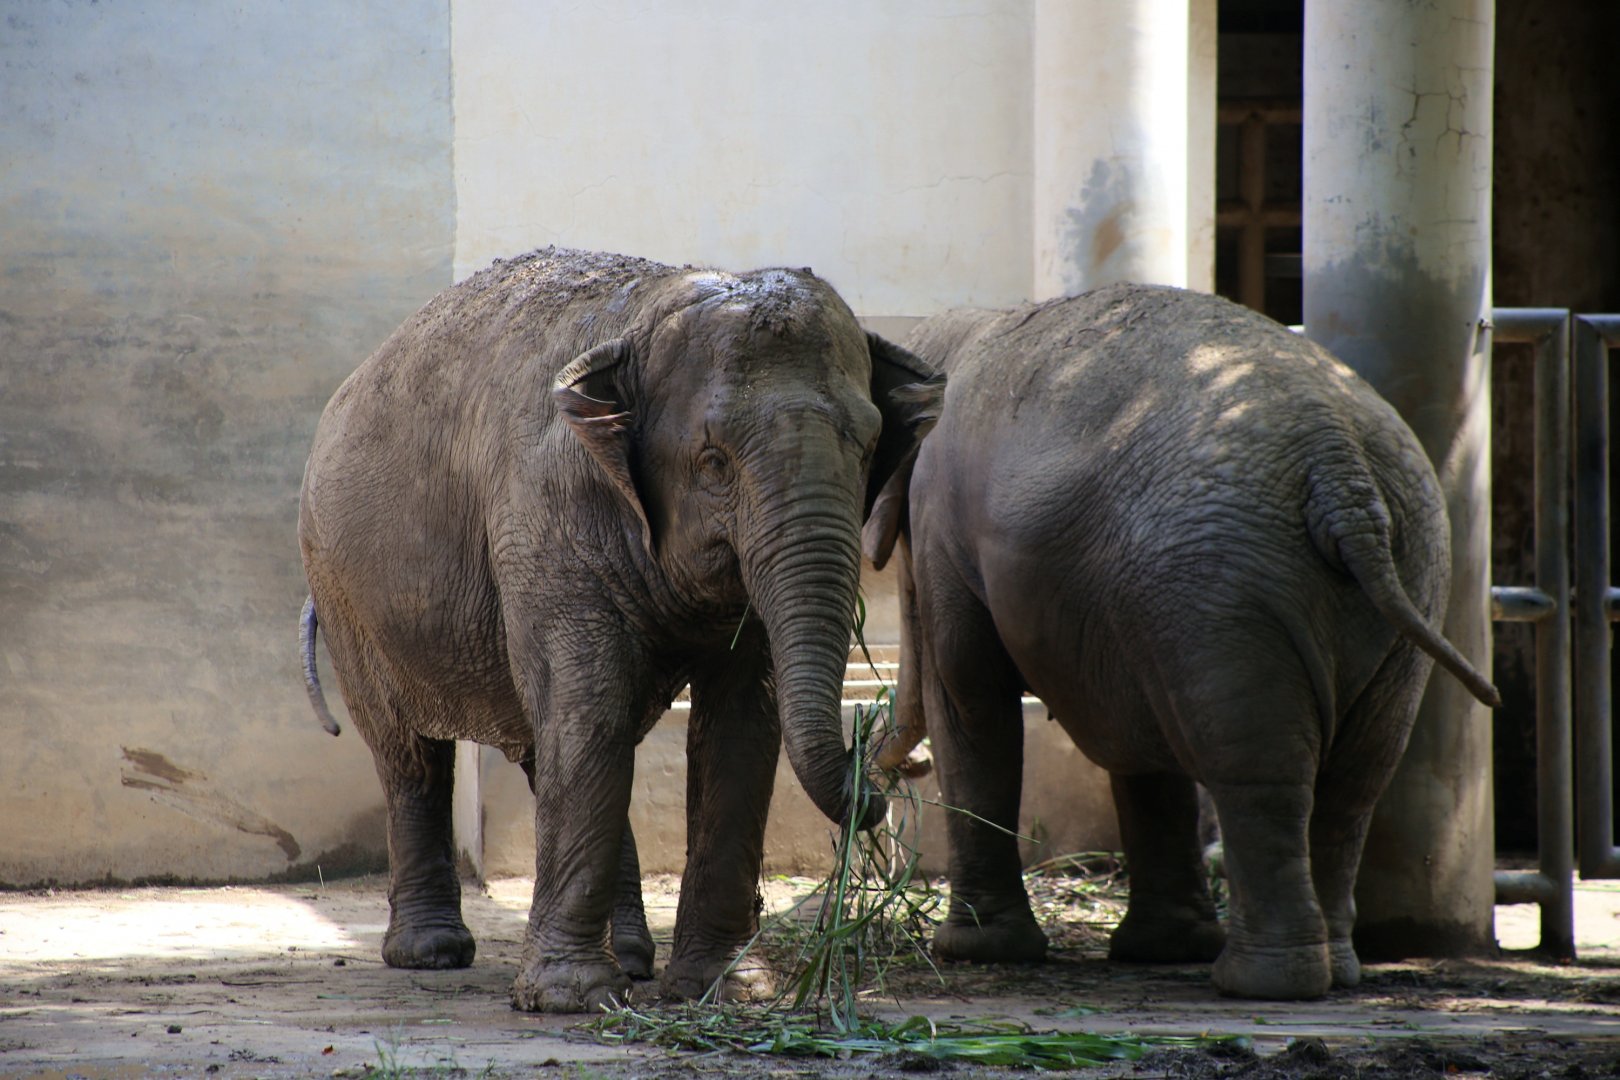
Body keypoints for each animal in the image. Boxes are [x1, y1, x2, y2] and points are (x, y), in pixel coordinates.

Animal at [297, 247, 942, 1013]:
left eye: (870, 445)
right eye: (713, 461)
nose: (887, 776)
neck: (645, 312)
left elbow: (742, 723)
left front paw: (730, 989)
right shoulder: (546, 517)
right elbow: (592, 711)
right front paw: (569, 997)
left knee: (553, 746)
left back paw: (632, 961)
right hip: (343, 591)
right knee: (411, 752)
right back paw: (433, 954)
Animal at [863, 283, 1499, 1001]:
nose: (893, 772)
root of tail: (1342, 474)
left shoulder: (943, 524)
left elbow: (972, 697)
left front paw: (973, 951)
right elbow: (1140, 741)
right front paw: (1161, 950)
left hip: (1221, 591)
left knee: (1256, 771)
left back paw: (1262, 982)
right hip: (1401, 576)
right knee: (1354, 778)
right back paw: (1333, 970)